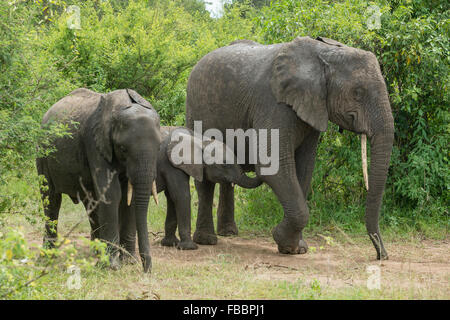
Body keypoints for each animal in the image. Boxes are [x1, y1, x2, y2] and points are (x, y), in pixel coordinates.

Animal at [37, 88, 161, 272]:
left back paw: (96, 253)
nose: (146, 271)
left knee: (91, 201)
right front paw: (113, 266)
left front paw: (128, 261)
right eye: (123, 149)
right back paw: (47, 256)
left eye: (159, 147)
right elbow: (112, 194)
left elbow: (128, 197)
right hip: (42, 154)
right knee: (51, 199)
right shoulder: (95, 143)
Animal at [185, 36, 394, 260]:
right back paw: (207, 240)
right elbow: (273, 167)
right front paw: (282, 240)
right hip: (196, 111)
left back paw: (229, 233)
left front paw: (295, 249)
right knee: (204, 180)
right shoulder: (273, 104)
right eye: (358, 93)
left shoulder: (312, 110)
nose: (382, 256)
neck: (323, 54)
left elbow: (304, 168)